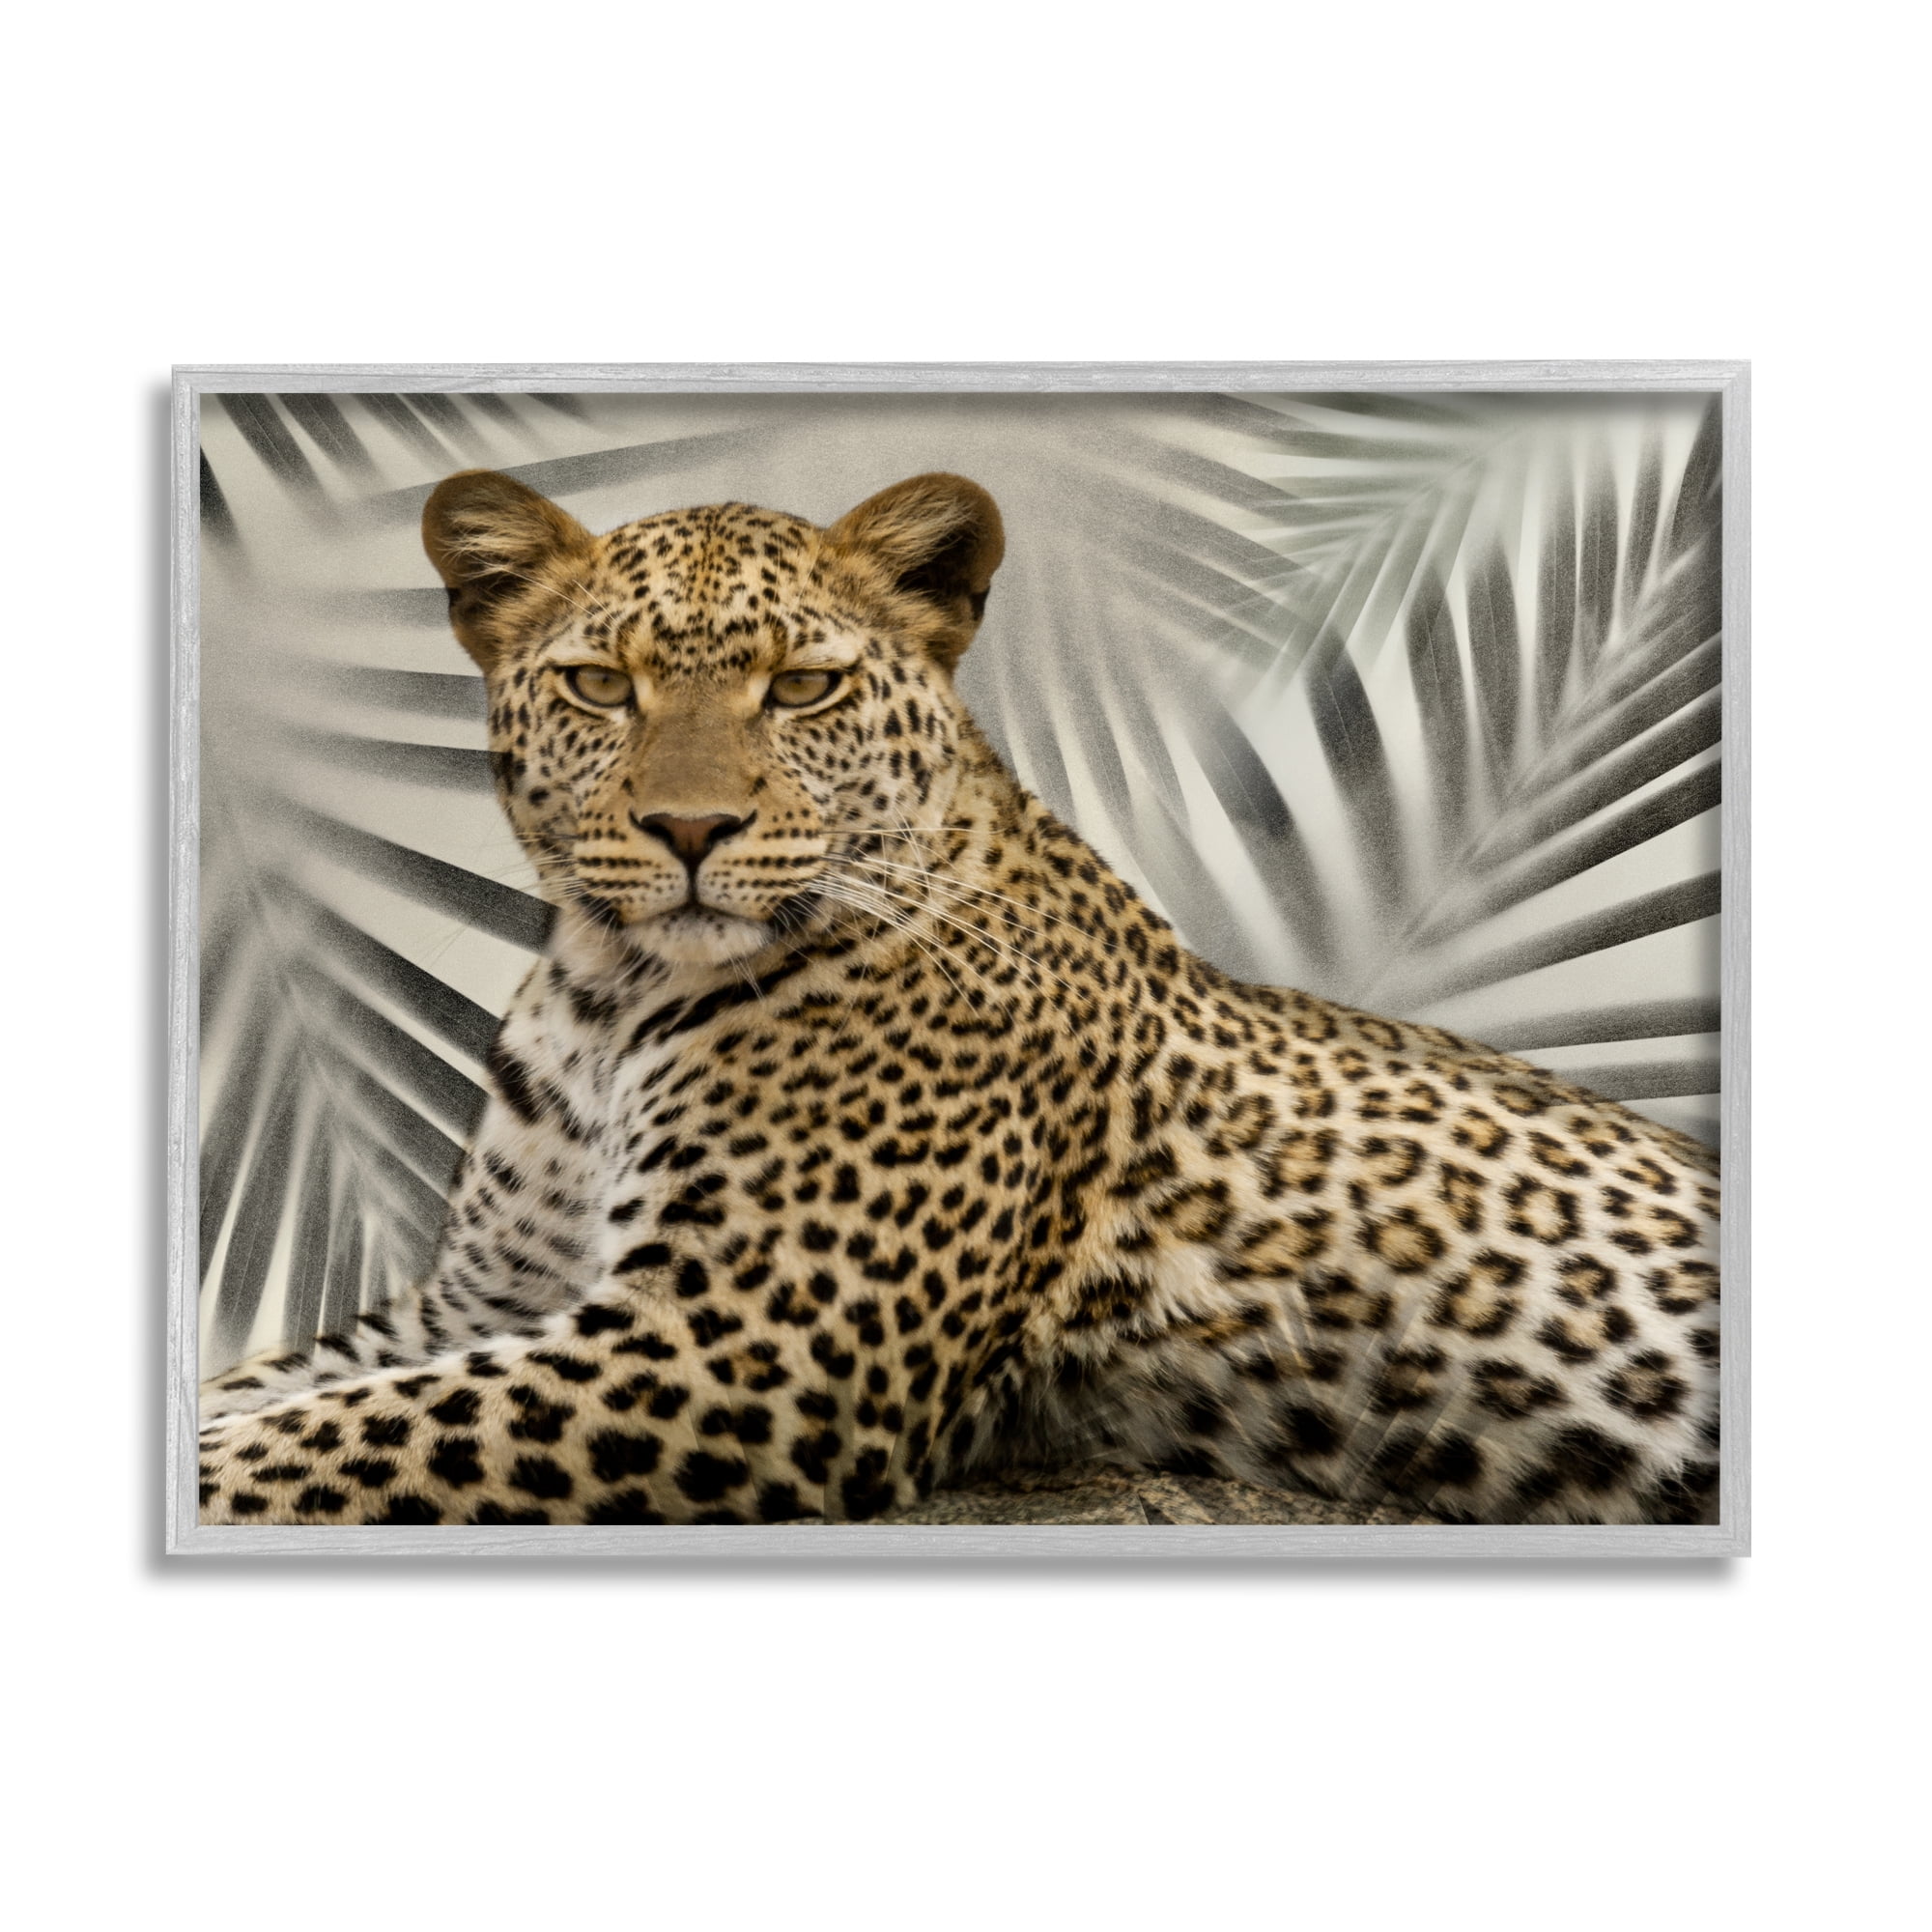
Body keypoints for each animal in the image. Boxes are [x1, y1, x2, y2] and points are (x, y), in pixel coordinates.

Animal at [197, 466, 1722, 1528]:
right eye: (596, 683)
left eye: (803, 688)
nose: (690, 829)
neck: (607, 997)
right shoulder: (481, 1299)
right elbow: (278, 1390)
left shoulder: (743, 1345)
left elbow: (317, 1437)